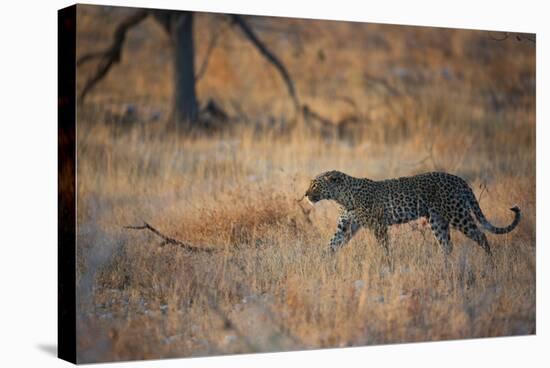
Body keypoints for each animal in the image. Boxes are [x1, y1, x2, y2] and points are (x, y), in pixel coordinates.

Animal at [304, 171, 524, 258]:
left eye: (315, 185)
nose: (305, 194)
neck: (341, 197)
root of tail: (459, 179)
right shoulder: (346, 226)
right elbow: (332, 244)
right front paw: (322, 262)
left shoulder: (378, 225)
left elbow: (384, 247)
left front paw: (387, 263)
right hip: (437, 220)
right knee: (447, 245)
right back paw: (444, 268)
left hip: (457, 213)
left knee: (481, 235)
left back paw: (490, 263)